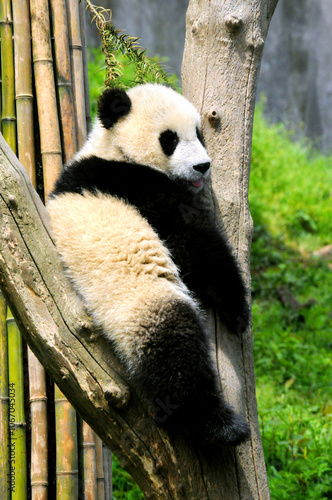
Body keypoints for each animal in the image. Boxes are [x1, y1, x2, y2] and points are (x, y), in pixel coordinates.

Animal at [46, 84, 249, 448]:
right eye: (170, 139)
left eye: (199, 133)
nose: (203, 166)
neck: (115, 147)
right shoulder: (133, 183)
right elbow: (193, 241)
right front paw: (237, 309)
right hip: (140, 301)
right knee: (173, 345)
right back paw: (216, 425)